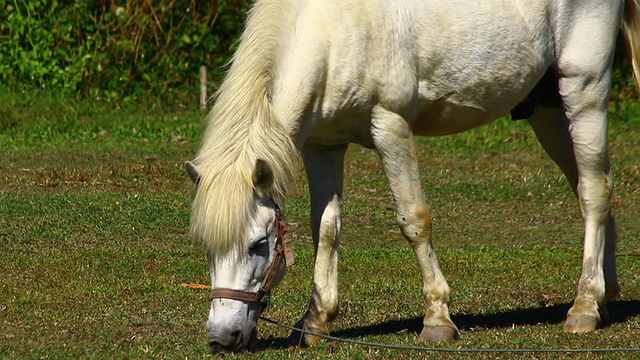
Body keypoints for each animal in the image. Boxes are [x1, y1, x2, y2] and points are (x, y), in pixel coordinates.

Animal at [185, 0, 640, 354]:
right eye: (205, 247)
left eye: (259, 244)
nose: (222, 337)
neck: (330, 28)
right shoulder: (323, 145)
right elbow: (325, 229)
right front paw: (315, 321)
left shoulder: (391, 126)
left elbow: (414, 221)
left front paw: (437, 319)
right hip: (547, 110)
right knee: (589, 186)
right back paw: (605, 292)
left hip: (584, 89)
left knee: (594, 191)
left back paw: (584, 306)